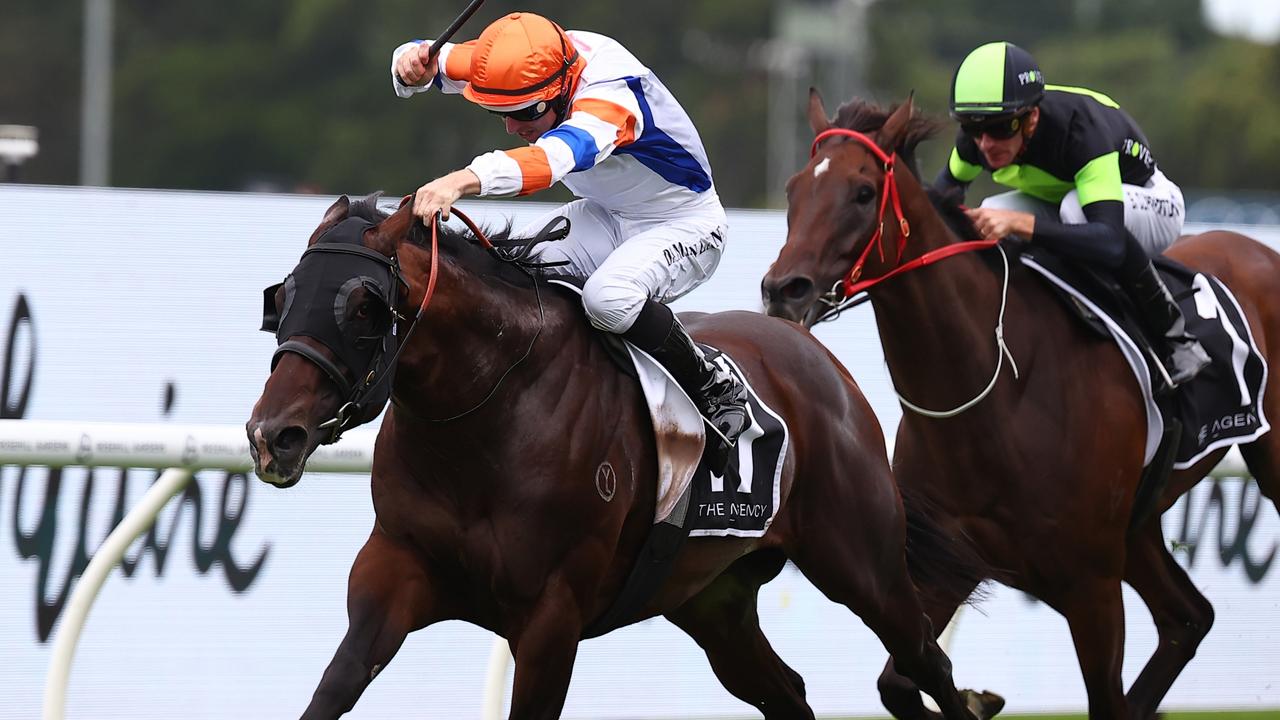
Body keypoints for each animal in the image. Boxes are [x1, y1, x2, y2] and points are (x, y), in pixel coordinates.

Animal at [244, 193, 1003, 712]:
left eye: (363, 307)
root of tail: (818, 359)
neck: (488, 416)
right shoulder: (394, 572)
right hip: (712, 599)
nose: (272, 434)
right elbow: (335, 687)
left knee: (926, 663)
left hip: (862, 563)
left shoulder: (550, 619)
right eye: (282, 297)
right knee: (785, 691)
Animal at [762, 90, 1274, 717]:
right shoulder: (949, 565)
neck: (995, 404)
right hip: (1136, 529)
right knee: (1188, 617)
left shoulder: (1091, 587)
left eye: (862, 191)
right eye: (793, 189)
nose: (783, 290)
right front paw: (978, 698)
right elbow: (899, 684)